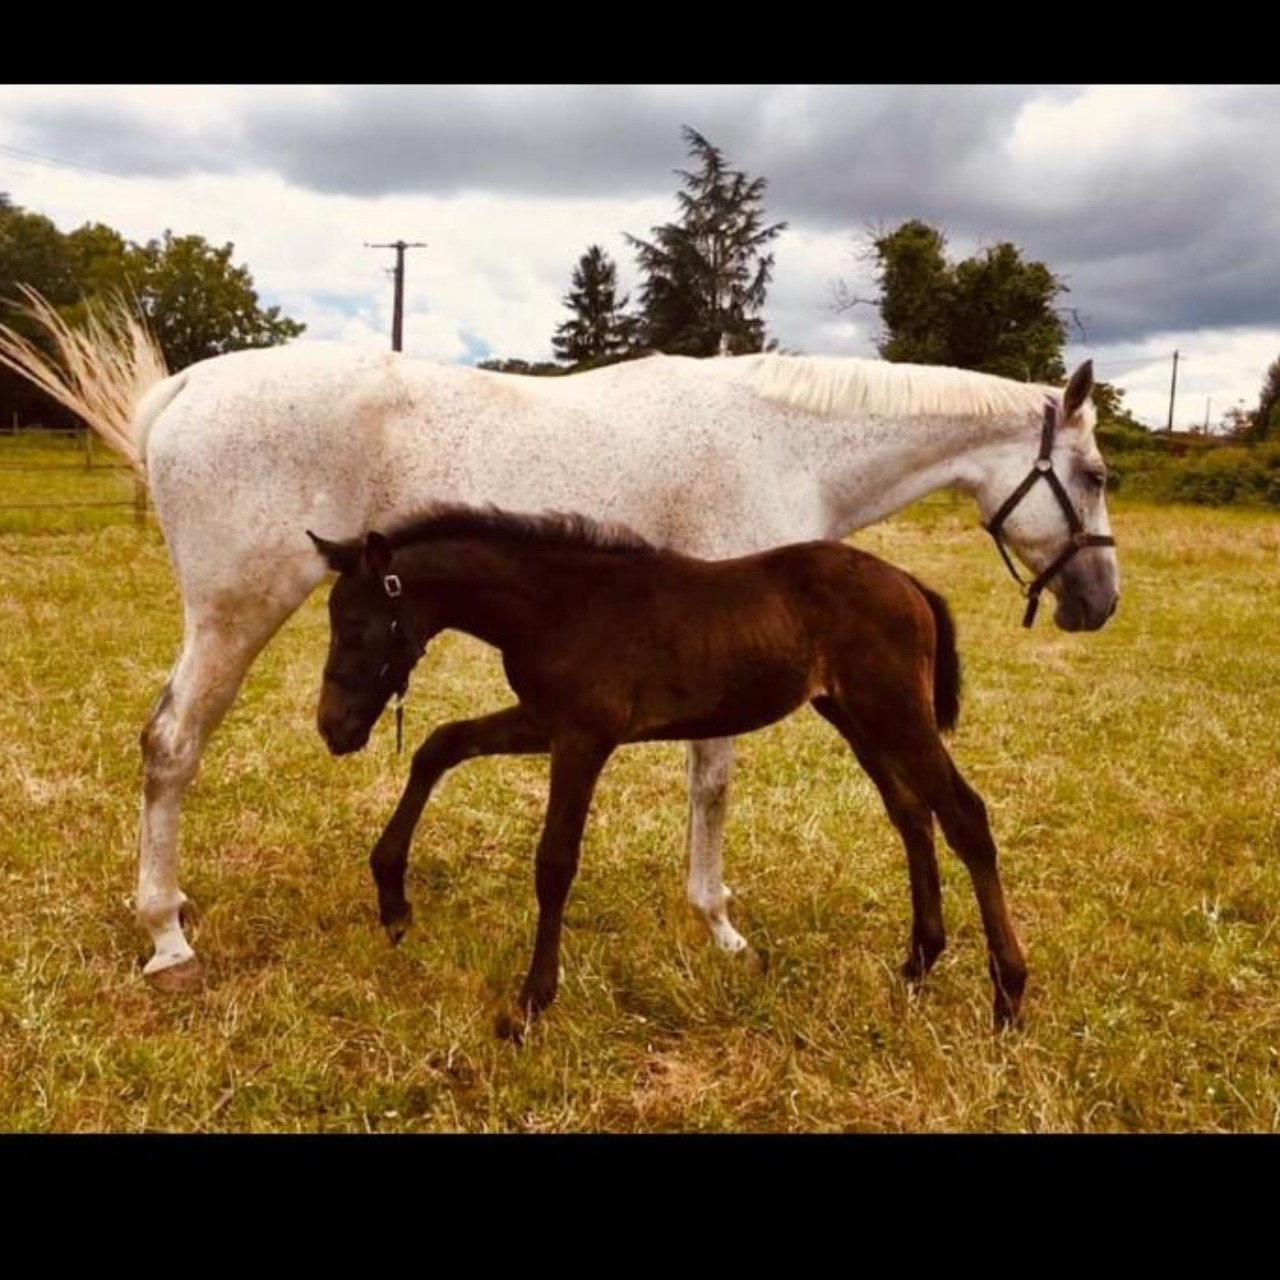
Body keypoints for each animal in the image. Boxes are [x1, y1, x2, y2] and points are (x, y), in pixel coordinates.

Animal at [312, 504, 1029, 1034]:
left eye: (357, 626)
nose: (332, 729)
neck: (560, 605)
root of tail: (909, 583)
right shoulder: (544, 722)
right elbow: (441, 744)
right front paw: (393, 900)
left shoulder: (584, 736)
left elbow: (555, 860)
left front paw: (531, 1003)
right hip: (856, 716)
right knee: (912, 814)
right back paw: (919, 962)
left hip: (894, 711)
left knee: (965, 816)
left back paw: (1009, 996)